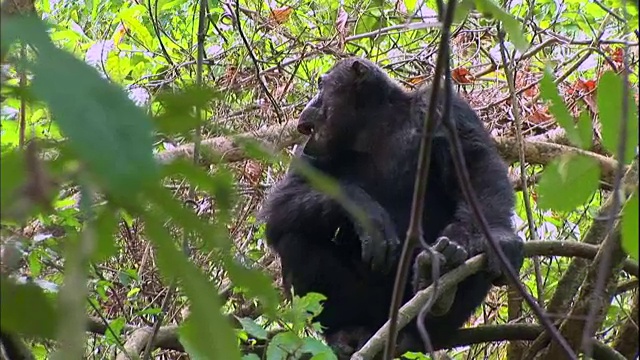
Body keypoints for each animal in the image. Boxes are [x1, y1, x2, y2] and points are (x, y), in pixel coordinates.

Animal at [258, 57, 524, 358]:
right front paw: (366, 212)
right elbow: (281, 205)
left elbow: (476, 166)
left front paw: (498, 238)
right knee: (295, 239)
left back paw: (436, 285)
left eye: (322, 85)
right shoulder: (310, 151)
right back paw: (346, 331)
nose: (311, 103)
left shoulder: (444, 107)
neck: (373, 127)